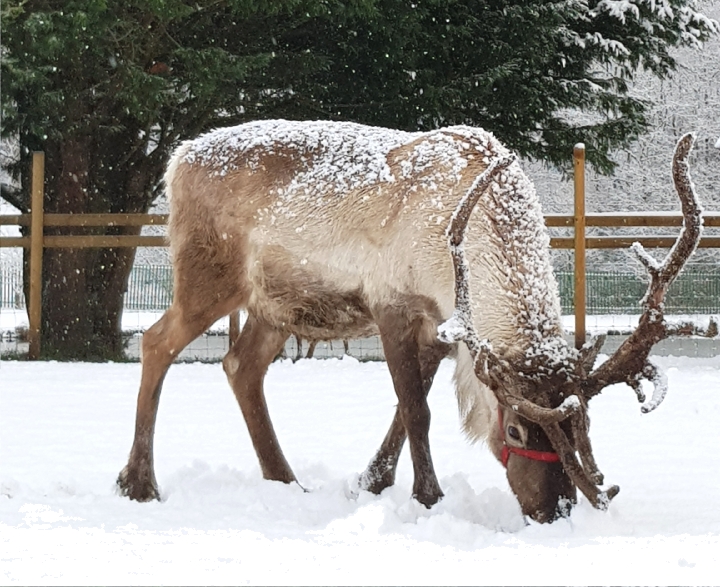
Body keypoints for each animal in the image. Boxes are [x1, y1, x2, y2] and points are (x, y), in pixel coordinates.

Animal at [117, 120, 704, 523]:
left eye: (586, 427)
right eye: (514, 426)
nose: (553, 510)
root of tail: (177, 160)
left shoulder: (443, 325)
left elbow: (406, 405)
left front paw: (369, 482)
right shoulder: (392, 302)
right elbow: (416, 409)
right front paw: (428, 496)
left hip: (273, 305)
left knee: (242, 366)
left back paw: (285, 481)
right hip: (209, 276)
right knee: (157, 343)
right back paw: (139, 483)